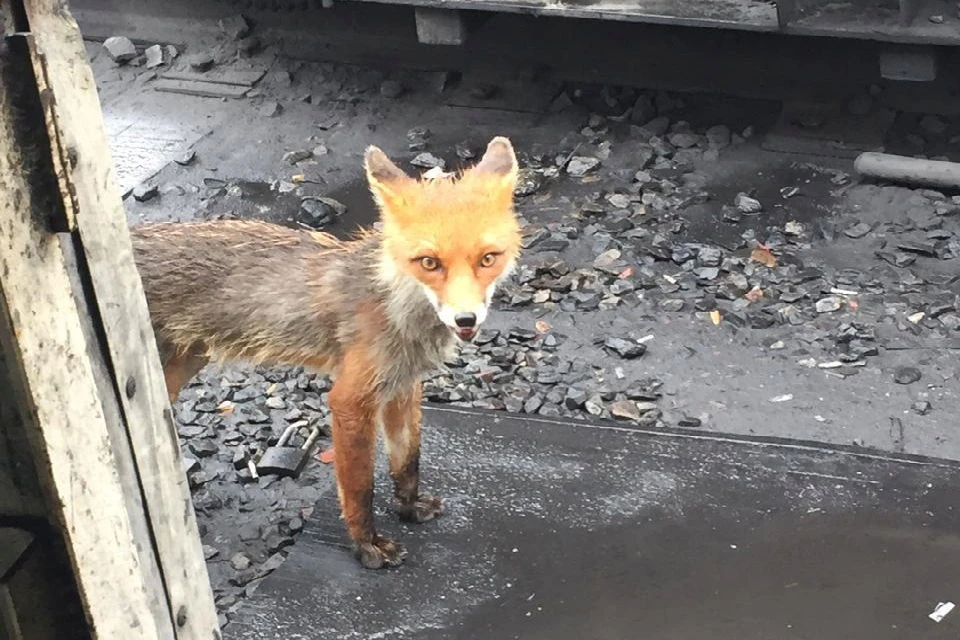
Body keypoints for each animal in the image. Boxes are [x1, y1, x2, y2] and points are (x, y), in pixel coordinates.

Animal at [130, 138, 520, 568]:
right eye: (429, 263)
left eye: (488, 258)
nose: (466, 319)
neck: (397, 309)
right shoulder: (351, 400)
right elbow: (360, 489)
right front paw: (367, 545)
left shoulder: (402, 387)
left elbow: (407, 462)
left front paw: (408, 507)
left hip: (181, 367)